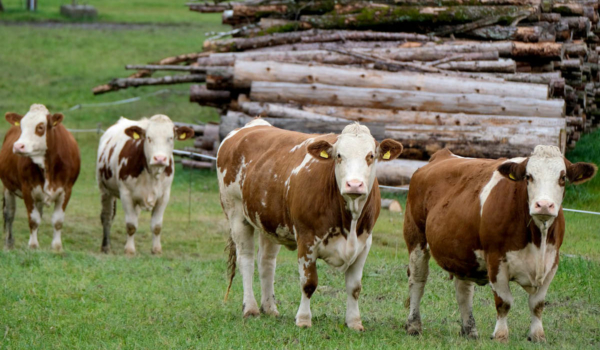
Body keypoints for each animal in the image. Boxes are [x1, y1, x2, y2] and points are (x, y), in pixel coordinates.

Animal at [0, 104, 81, 252]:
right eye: (21, 126)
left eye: (40, 127)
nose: (18, 146)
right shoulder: (27, 189)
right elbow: (33, 219)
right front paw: (33, 245)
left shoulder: (66, 190)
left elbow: (58, 220)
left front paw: (57, 247)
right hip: (8, 187)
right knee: (9, 214)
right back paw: (9, 243)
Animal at [96, 116, 192, 256]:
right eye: (148, 137)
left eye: (170, 138)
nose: (160, 158)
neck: (152, 174)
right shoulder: (126, 194)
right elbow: (131, 225)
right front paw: (129, 250)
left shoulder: (164, 196)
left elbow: (156, 226)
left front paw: (156, 250)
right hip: (105, 190)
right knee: (107, 217)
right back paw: (105, 246)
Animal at [216, 119, 404, 330]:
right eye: (339, 155)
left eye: (370, 155)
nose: (354, 185)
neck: (349, 222)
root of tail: (253, 124)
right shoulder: (306, 240)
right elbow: (308, 283)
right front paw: (304, 319)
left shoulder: (364, 243)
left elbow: (354, 287)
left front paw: (354, 322)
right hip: (236, 214)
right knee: (246, 260)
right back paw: (250, 308)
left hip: (269, 222)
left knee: (266, 262)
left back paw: (270, 308)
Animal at [404, 146, 596, 344]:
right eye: (528, 177)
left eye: (562, 177)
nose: (543, 205)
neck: (537, 240)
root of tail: (442, 155)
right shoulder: (496, 260)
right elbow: (504, 302)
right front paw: (500, 335)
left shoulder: (552, 262)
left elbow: (537, 304)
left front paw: (537, 335)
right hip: (415, 237)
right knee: (417, 280)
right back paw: (413, 326)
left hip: (463, 251)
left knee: (463, 291)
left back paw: (469, 330)